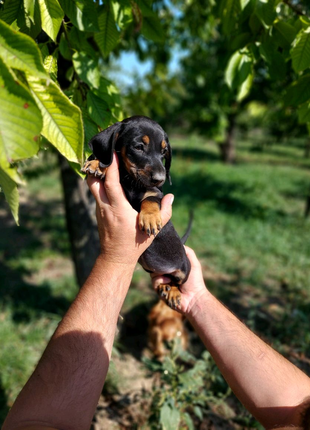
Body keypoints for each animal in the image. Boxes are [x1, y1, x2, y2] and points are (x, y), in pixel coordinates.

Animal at [81, 114, 190, 310]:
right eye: (138, 147)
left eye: (164, 152)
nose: (160, 179)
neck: (132, 183)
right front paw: (97, 164)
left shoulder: (156, 194)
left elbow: (149, 199)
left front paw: (150, 219)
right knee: (164, 278)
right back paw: (164, 286)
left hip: (185, 268)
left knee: (178, 281)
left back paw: (173, 292)